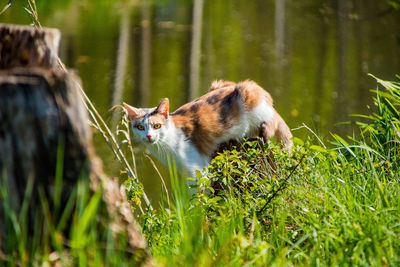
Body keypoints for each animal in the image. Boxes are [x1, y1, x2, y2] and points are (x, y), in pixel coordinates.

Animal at [123, 80, 292, 179]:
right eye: (140, 127)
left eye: (157, 126)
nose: (148, 136)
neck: (164, 145)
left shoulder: (197, 170)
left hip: (251, 97)